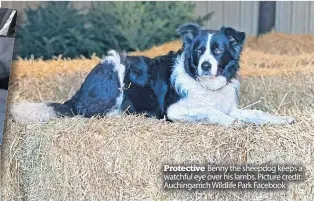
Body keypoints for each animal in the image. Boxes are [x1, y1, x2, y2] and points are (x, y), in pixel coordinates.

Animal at [9, 23, 294, 125]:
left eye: (218, 50)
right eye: (199, 51)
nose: (205, 65)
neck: (204, 84)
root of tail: (76, 95)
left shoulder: (228, 104)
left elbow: (255, 114)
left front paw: (280, 119)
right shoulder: (174, 110)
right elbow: (214, 113)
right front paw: (230, 123)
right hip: (115, 66)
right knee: (88, 112)